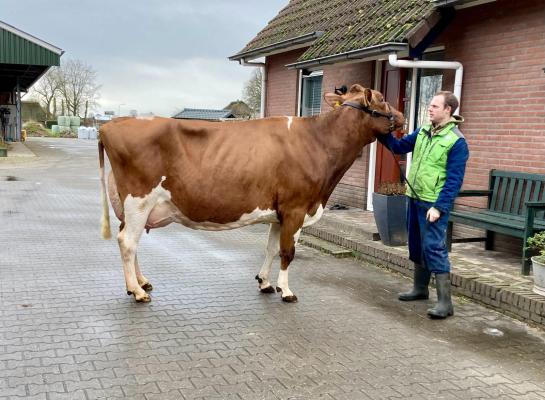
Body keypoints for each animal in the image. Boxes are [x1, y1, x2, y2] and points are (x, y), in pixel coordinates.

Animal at [98, 85, 404, 304]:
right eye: (381, 98)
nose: (402, 116)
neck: (320, 142)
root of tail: (111, 124)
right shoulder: (296, 208)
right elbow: (288, 252)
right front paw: (286, 290)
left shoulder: (279, 214)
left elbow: (271, 248)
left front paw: (265, 282)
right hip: (139, 201)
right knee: (127, 242)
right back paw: (137, 292)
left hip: (134, 207)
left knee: (130, 241)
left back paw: (142, 282)